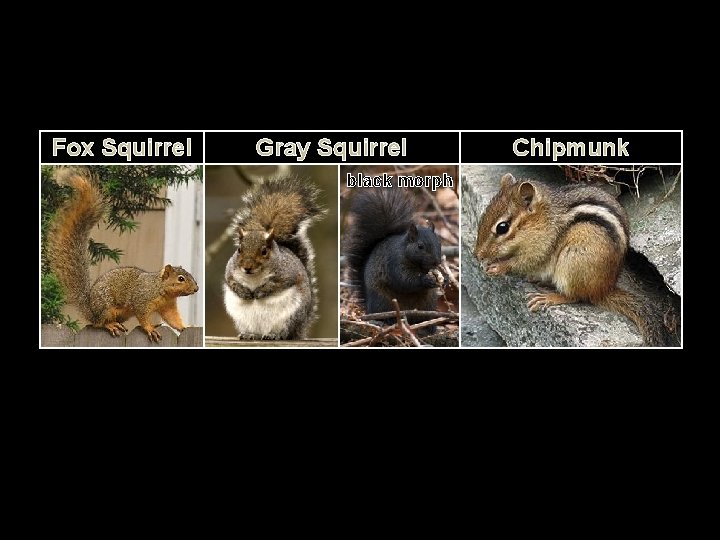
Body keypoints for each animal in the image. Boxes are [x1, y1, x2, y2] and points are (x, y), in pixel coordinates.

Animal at [46, 169, 199, 343]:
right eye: (180, 279)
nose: (196, 288)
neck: (160, 289)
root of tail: (90, 309)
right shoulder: (141, 300)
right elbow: (142, 316)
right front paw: (150, 328)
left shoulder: (168, 307)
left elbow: (173, 319)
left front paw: (185, 327)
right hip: (106, 307)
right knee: (98, 324)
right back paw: (110, 325)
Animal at [223, 176, 325, 340]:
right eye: (239, 249)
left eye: (264, 251)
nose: (247, 267)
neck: (254, 277)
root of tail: (300, 329)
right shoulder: (230, 270)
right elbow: (230, 281)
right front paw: (243, 292)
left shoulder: (287, 273)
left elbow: (277, 284)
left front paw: (260, 292)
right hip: (243, 320)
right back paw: (249, 334)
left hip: (290, 317)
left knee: (285, 332)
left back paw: (273, 335)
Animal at [344, 188, 444, 321]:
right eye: (420, 246)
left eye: (439, 243)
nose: (437, 262)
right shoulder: (394, 262)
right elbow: (404, 280)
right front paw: (425, 279)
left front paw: (445, 279)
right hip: (382, 301)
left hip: (428, 303)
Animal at [473, 173, 681, 347]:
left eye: (502, 227)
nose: (477, 255)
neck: (543, 217)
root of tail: (603, 289)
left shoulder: (541, 246)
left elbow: (526, 262)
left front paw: (499, 266)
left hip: (572, 262)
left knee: (576, 296)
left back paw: (550, 296)